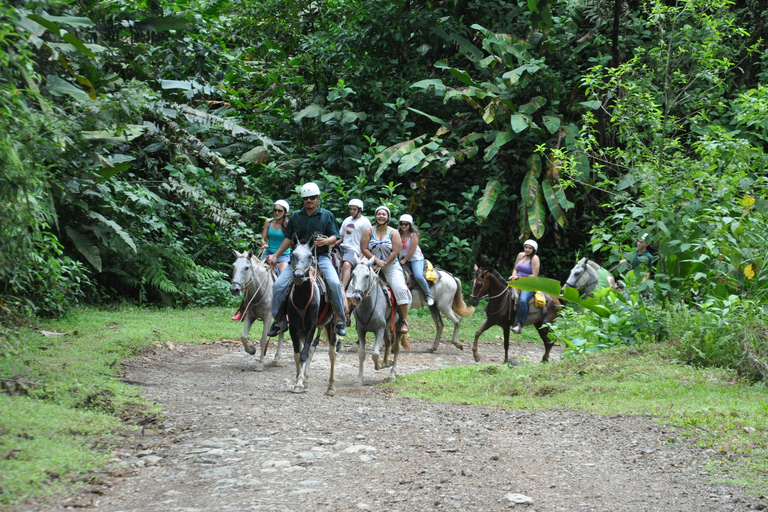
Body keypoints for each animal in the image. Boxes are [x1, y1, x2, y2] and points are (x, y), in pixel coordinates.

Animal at [284, 238, 336, 394]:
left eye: (309, 256)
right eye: (293, 254)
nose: (299, 276)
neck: (302, 298)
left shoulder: (312, 326)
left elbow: (304, 354)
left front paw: (300, 383)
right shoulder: (294, 328)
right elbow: (298, 354)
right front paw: (299, 379)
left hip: (331, 325)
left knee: (332, 353)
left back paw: (331, 387)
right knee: (312, 349)